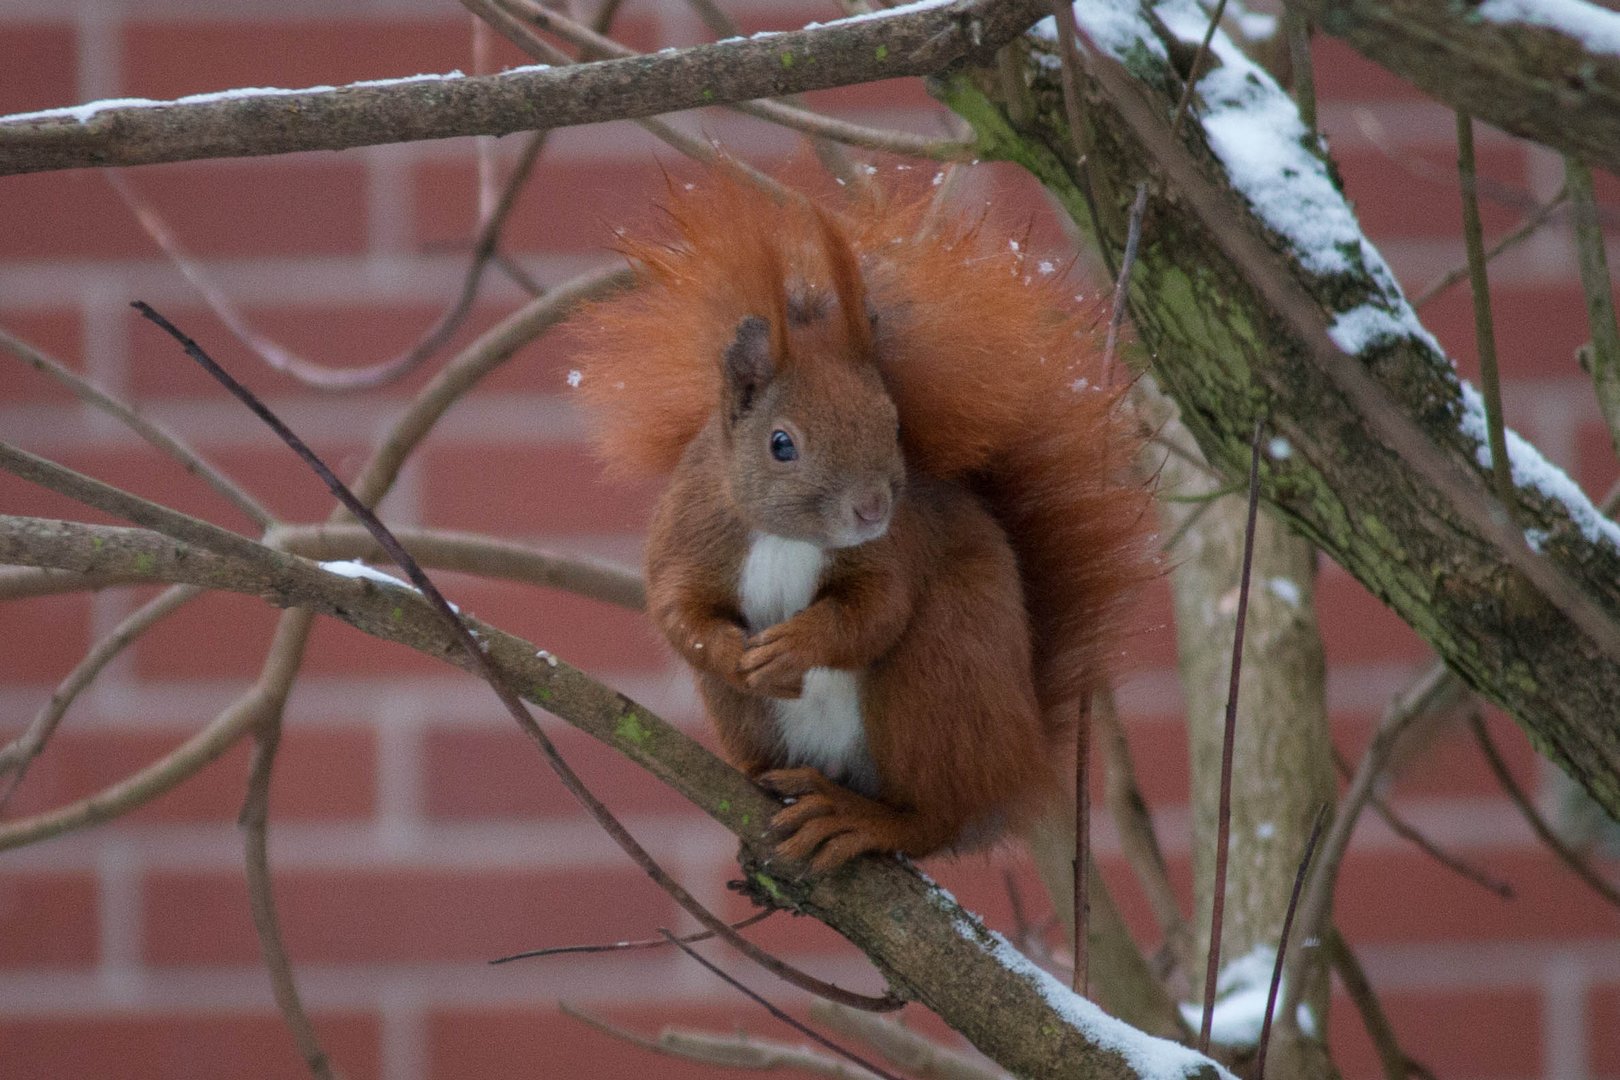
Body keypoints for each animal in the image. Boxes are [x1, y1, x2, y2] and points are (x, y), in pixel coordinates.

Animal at [570, 173, 1153, 874]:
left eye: (895, 426)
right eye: (781, 444)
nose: (873, 508)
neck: (790, 539)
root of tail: (1017, 766)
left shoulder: (895, 550)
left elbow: (876, 612)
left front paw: (796, 645)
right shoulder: (689, 536)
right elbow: (676, 610)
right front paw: (733, 651)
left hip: (939, 669)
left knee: (930, 818)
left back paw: (860, 819)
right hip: (753, 717)